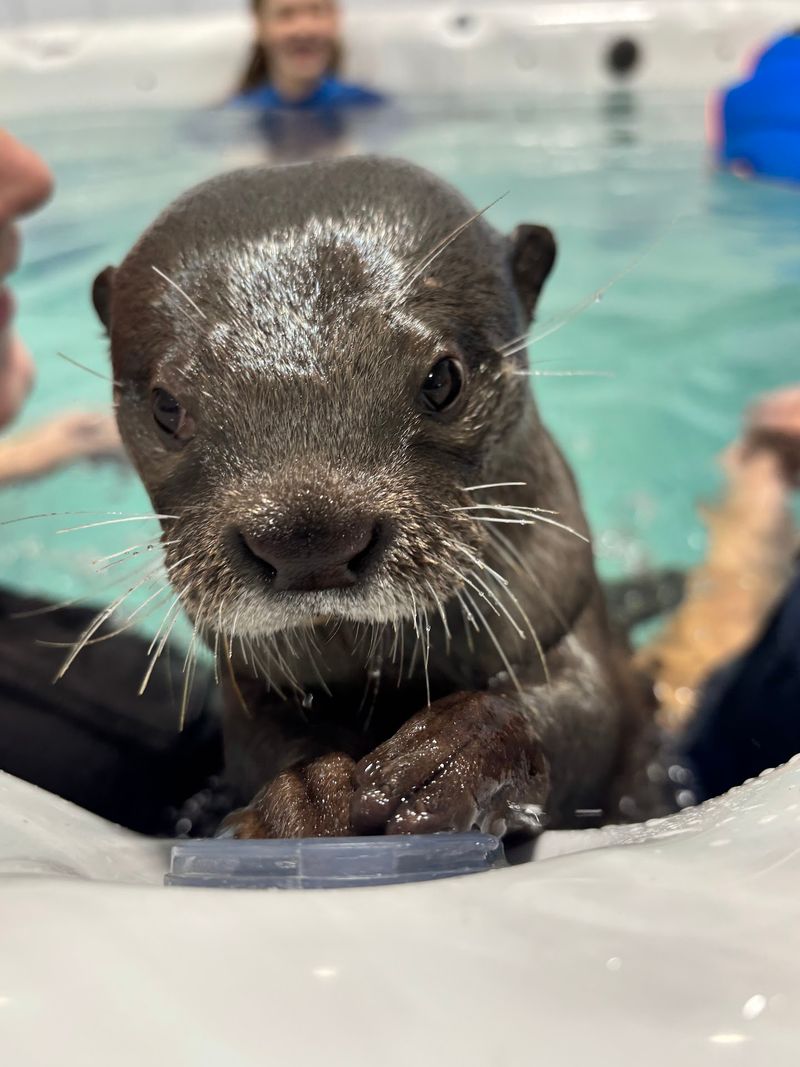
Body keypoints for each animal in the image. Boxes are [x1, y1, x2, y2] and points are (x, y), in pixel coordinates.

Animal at [92, 156, 662, 839]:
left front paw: (449, 758)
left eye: (443, 379)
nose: (308, 537)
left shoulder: (570, 612)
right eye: (166, 407)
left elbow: (589, 712)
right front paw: (304, 794)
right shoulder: (249, 686)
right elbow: (257, 744)